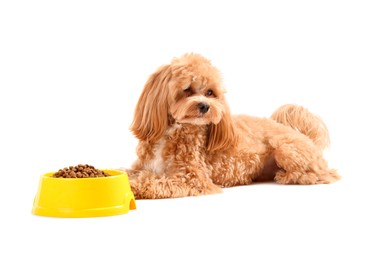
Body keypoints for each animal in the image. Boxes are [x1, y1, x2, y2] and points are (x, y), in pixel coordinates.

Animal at [125, 52, 340, 199]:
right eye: (187, 89)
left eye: (210, 92)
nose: (205, 106)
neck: (172, 132)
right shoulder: (142, 166)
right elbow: (130, 172)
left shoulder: (193, 178)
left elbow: (155, 181)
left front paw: (133, 188)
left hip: (286, 149)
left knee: (324, 174)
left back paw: (288, 176)